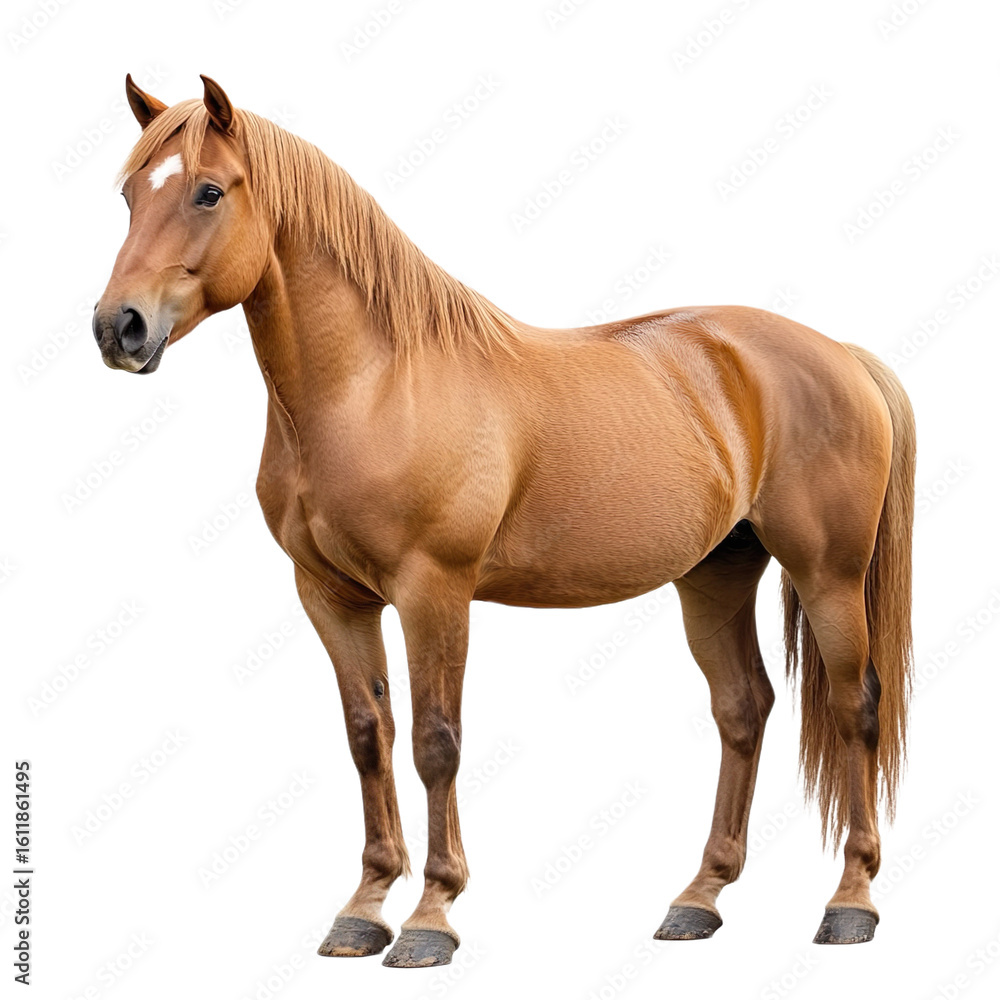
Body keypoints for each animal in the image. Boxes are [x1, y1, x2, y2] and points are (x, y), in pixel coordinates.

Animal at [93, 75, 915, 968]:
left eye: (209, 191)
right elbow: (367, 735)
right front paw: (363, 908)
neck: (376, 386)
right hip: (716, 575)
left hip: (828, 575)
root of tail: (838, 354)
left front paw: (431, 916)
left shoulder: (434, 591)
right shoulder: (331, 595)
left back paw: (851, 903)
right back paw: (698, 899)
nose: (118, 327)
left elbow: (435, 742)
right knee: (742, 707)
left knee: (855, 707)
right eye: (130, 194)